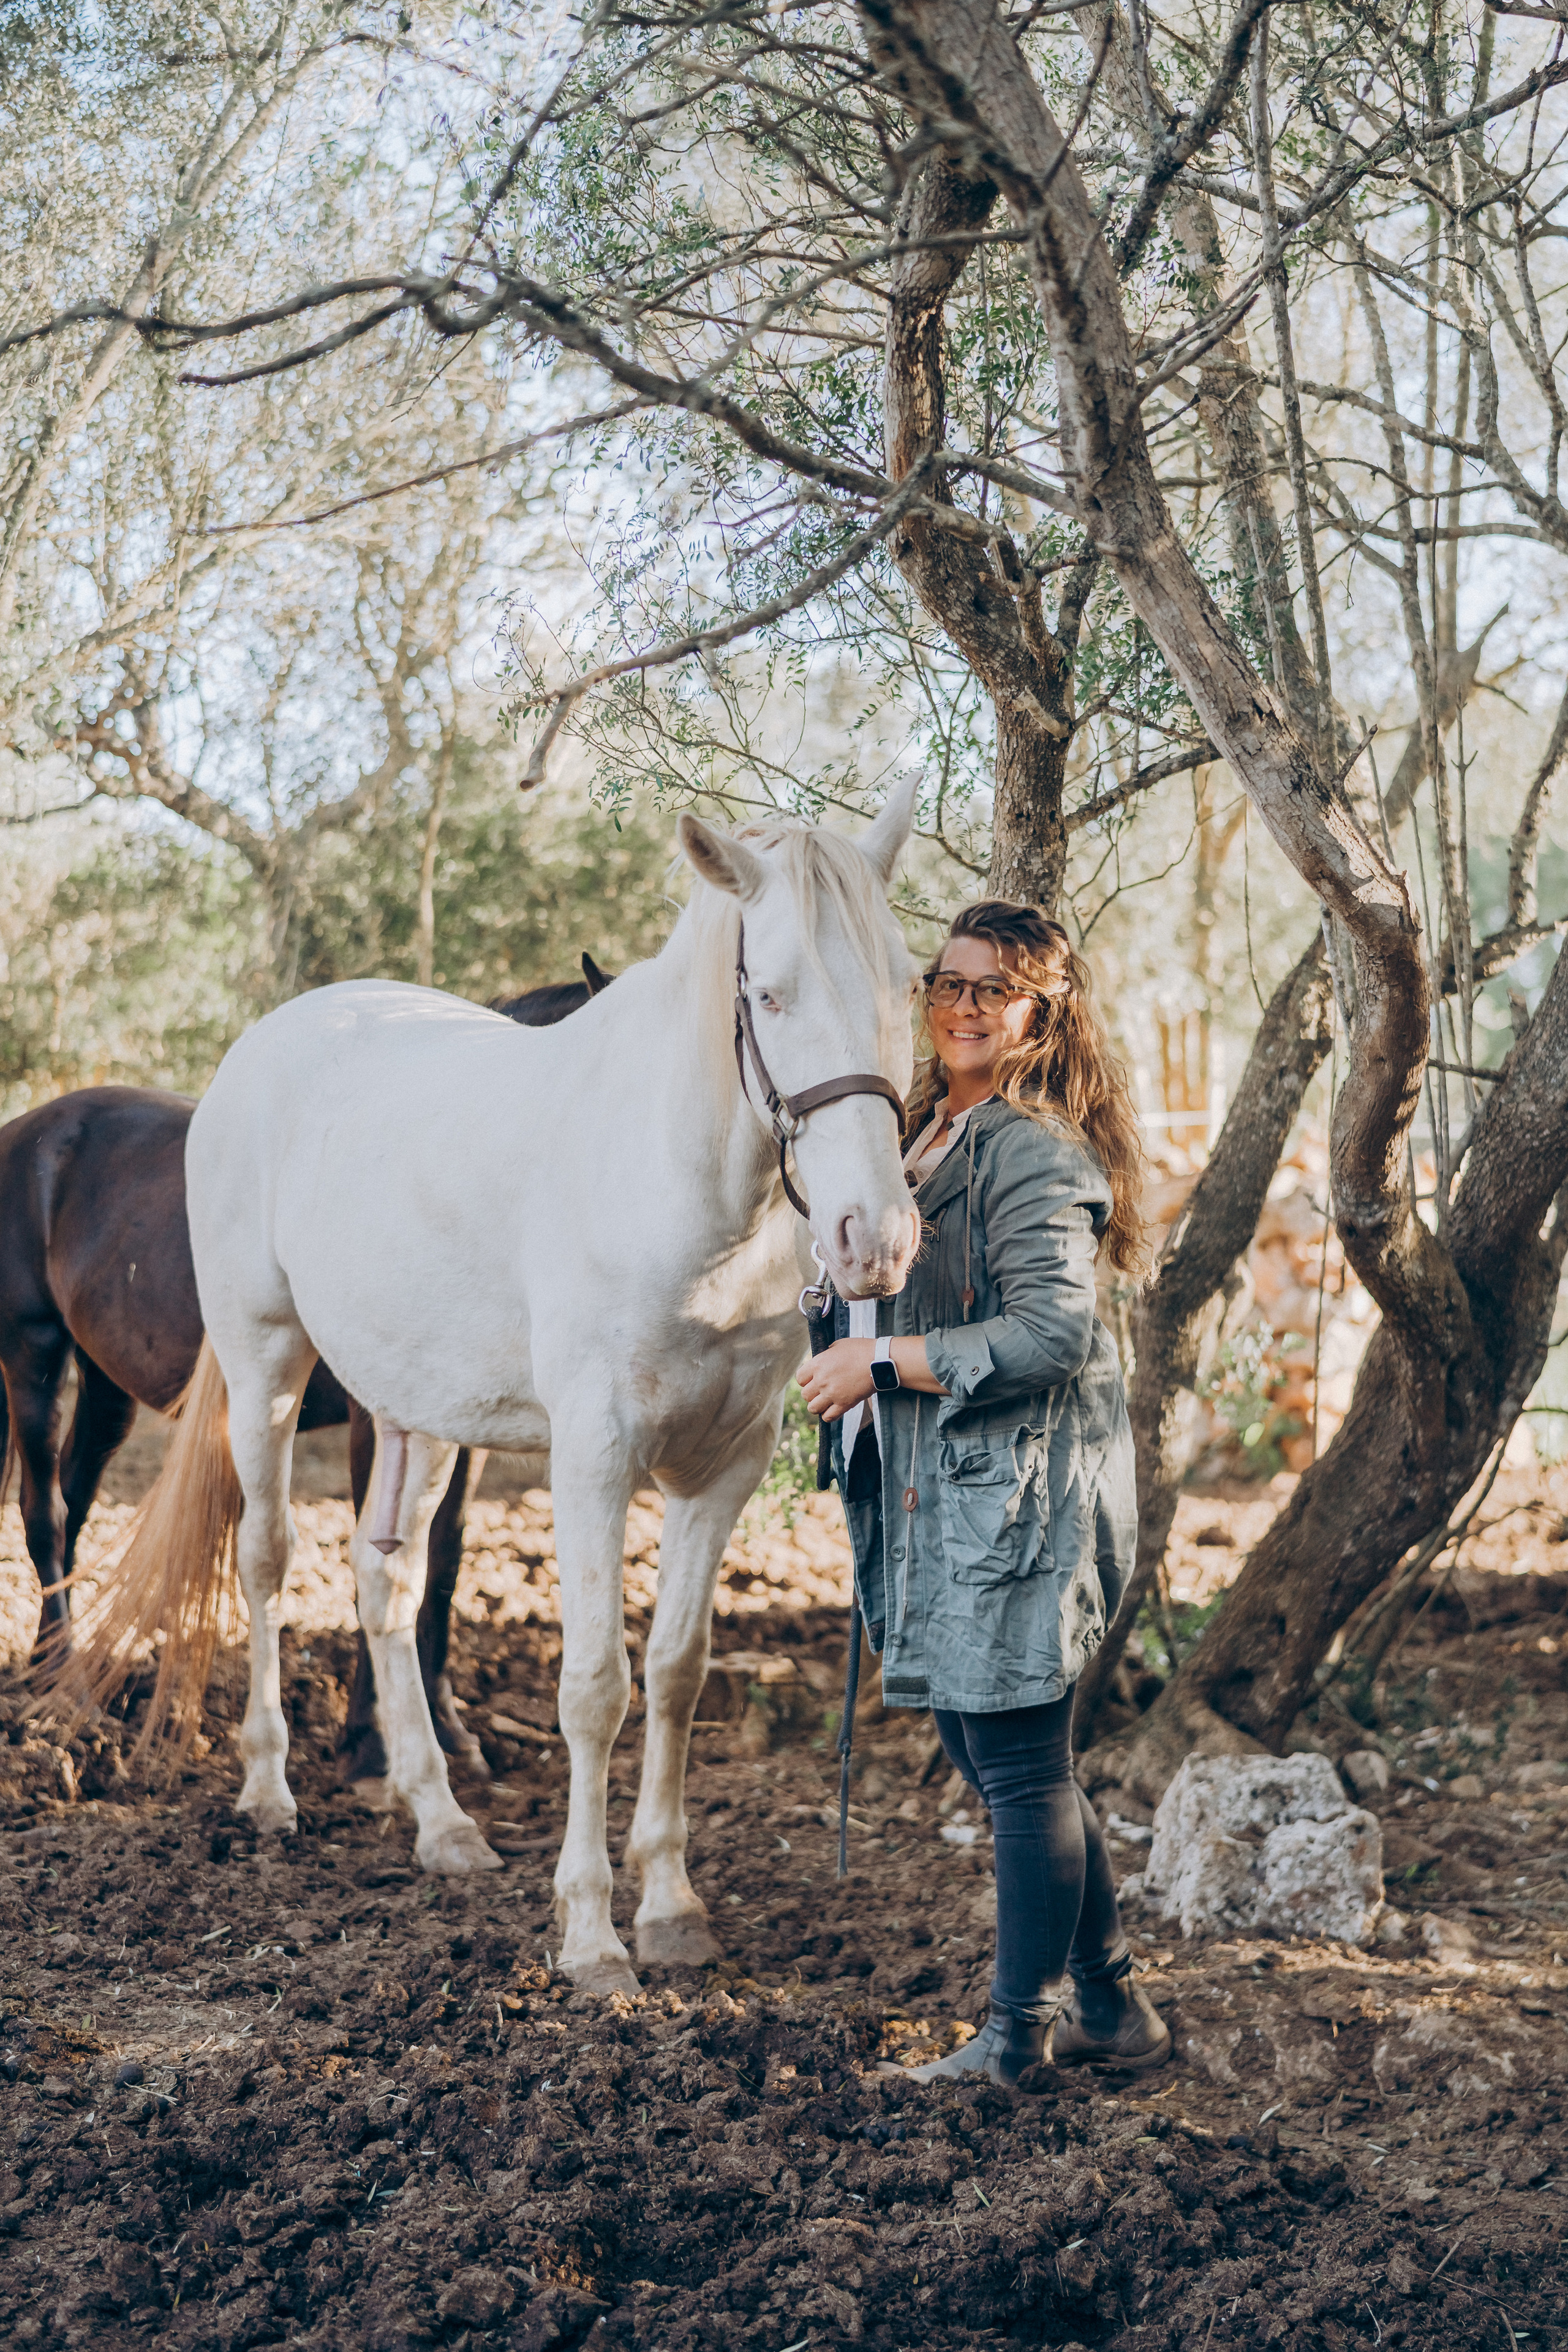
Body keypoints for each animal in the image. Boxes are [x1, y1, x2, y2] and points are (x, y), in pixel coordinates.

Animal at [0, 953, 611, 1781]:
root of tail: (33, 1132)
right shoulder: (377, 1420)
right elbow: (382, 1561)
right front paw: (370, 1740)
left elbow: (443, 1564)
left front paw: (446, 1728)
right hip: (32, 1353)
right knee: (45, 1512)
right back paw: (64, 1684)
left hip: (106, 1386)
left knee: (74, 1503)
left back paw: (54, 1673)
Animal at [74, 797, 920, 1994]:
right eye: (769, 994)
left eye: (908, 985)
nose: (873, 1239)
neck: (679, 1191)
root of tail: (267, 1043)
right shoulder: (594, 1461)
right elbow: (596, 1687)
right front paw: (591, 1934)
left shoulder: (724, 1469)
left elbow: (677, 1673)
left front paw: (671, 1905)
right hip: (264, 1365)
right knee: (269, 1560)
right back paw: (270, 1788)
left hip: (418, 1416)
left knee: (384, 1581)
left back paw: (441, 1820)